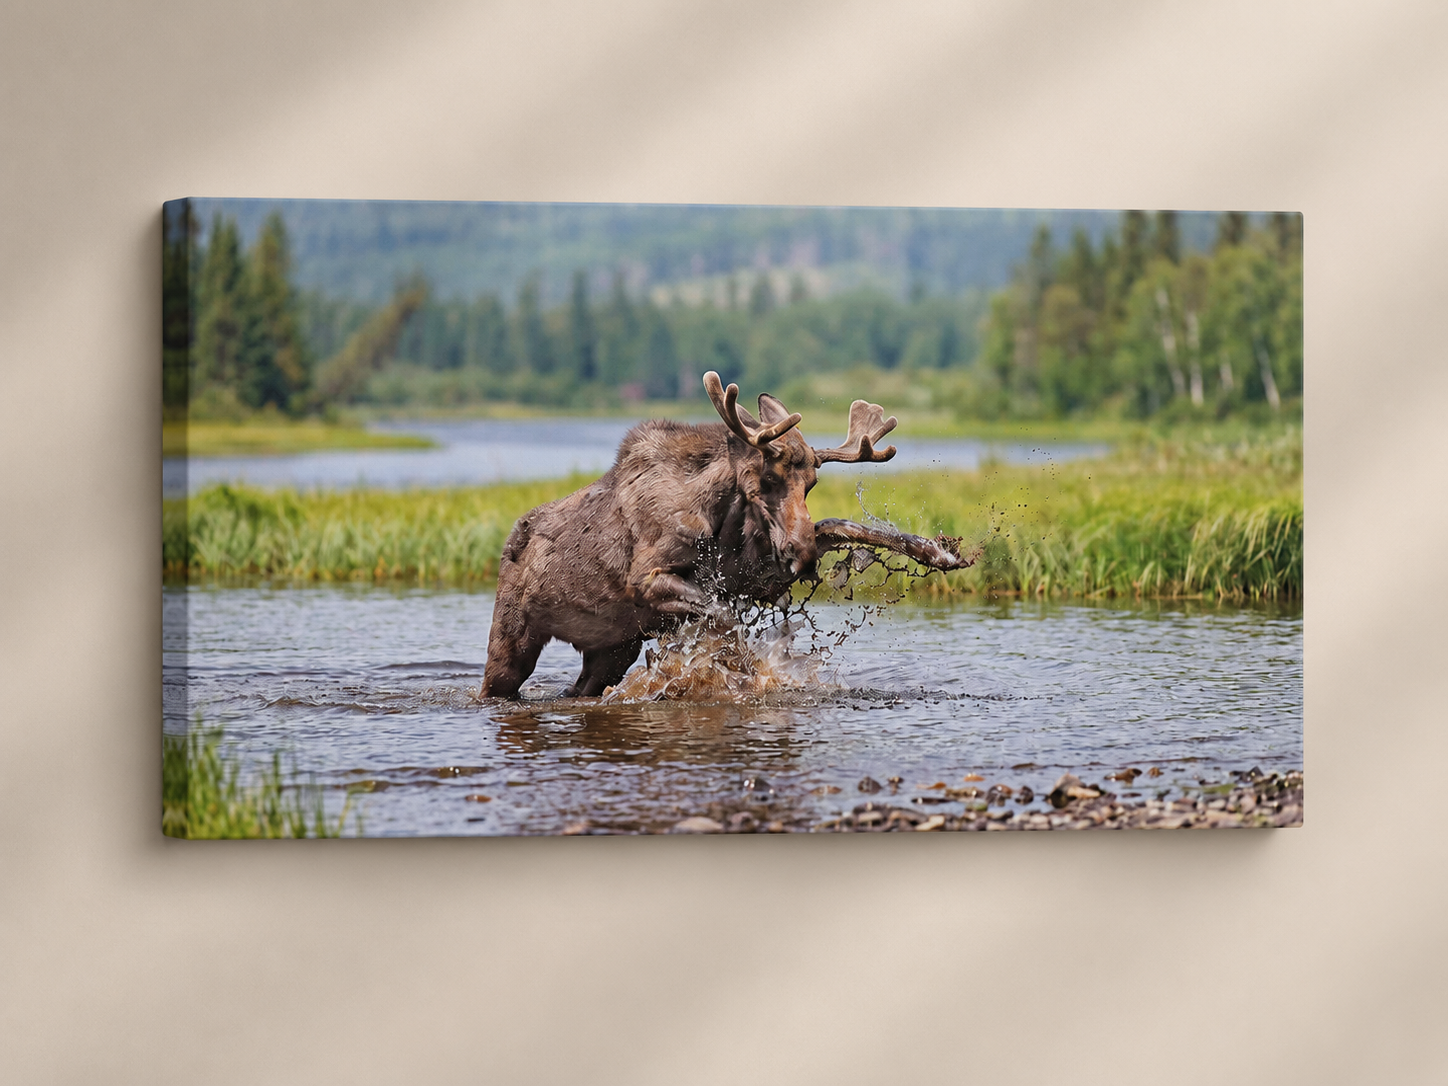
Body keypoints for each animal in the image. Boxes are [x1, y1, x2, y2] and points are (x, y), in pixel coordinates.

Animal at [480, 371, 969, 698]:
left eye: (811, 484)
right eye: (764, 480)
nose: (802, 554)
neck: (721, 517)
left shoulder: (755, 575)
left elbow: (844, 525)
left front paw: (941, 551)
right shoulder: (646, 579)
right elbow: (722, 616)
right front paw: (746, 673)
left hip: (612, 650)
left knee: (579, 688)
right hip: (513, 637)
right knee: (494, 685)